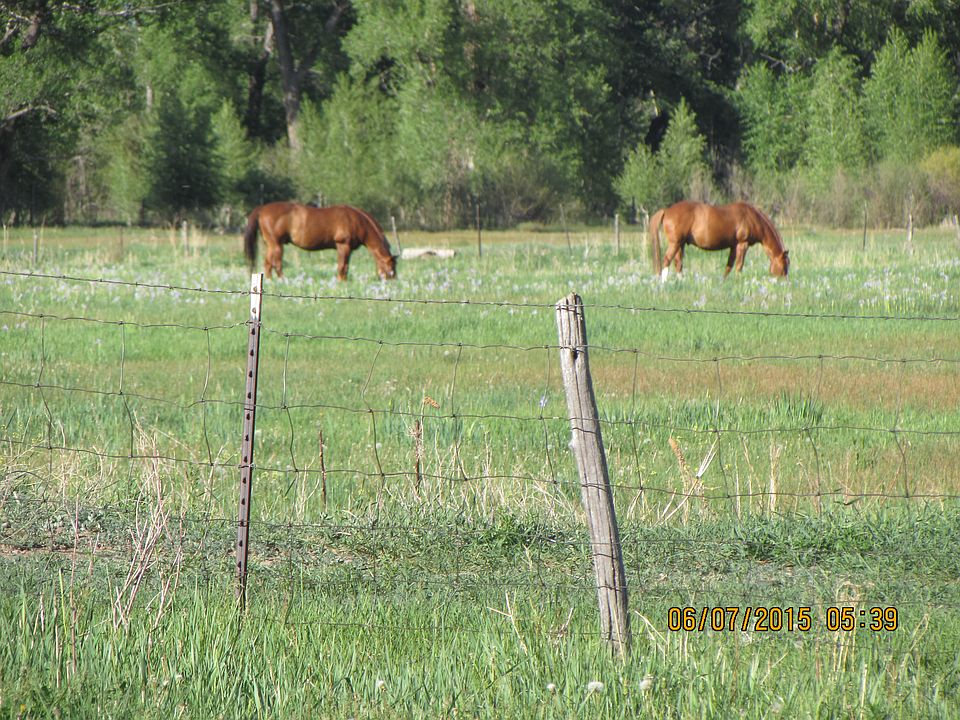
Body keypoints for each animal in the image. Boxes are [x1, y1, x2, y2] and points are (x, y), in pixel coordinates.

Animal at [243, 202, 398, 281]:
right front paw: (341, 282)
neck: (357, 221)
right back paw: (282, 281)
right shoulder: (343, 246)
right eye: (391, 266)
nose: (393, 281)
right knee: (276, 264)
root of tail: (262, 209)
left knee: (268, 264)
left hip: (272, 245)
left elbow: (345, 267)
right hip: (276, 245)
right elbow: (342, 266)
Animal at [649, 200, 789, 279]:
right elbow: (739, 266)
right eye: (785, 265)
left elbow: (729, 266)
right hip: (675, 243)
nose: (784, 283)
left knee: (678, 263)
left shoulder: (734, 246)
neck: (752, 218)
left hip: (680, 244)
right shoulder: (742, 244)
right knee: (666, 260)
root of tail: (667, 210)